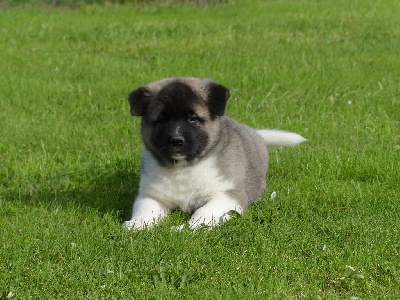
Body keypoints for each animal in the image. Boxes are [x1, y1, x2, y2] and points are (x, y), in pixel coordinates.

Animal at [123, 78, 304, 230]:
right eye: (161, 119)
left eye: (193, 118)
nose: (176, 140)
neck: (184, 169)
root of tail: (257, 135)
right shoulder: (152, 195)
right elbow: (145, 210)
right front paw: (135, 225)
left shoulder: (226, 197)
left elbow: (201, 213)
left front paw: (185, 229)